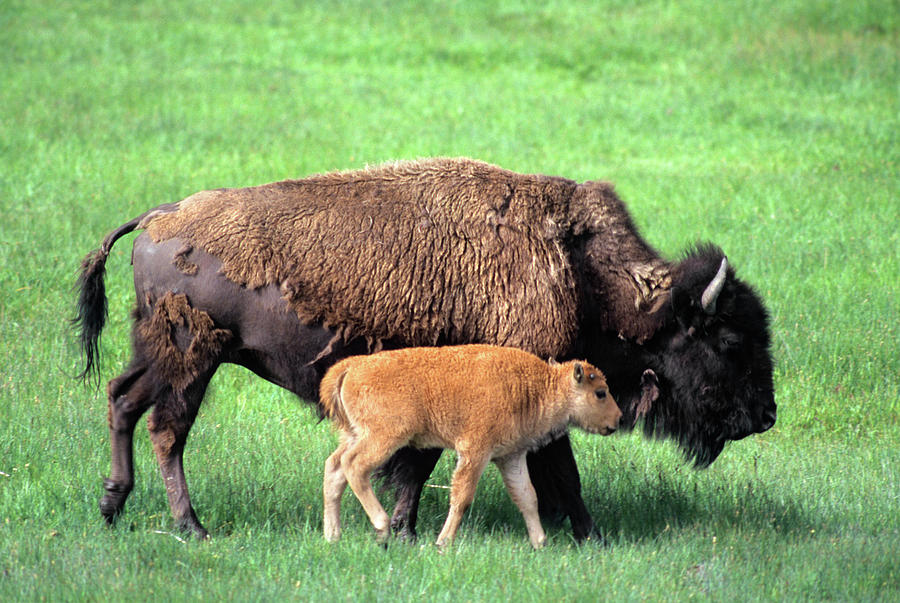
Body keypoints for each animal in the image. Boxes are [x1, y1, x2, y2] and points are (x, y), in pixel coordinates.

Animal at [320, 344, 624, 548]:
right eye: (600, 393)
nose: (618, 419)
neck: (536, 387)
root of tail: (352, 366)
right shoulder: (475, 452)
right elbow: (463, 496)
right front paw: (443, 543)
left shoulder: (511, 456)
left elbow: (528, 497)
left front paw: (540, 542)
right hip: (383, 438)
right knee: (354, 467)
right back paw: (381, 527)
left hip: (354, 434)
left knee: (334, 468)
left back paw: (333, 535)